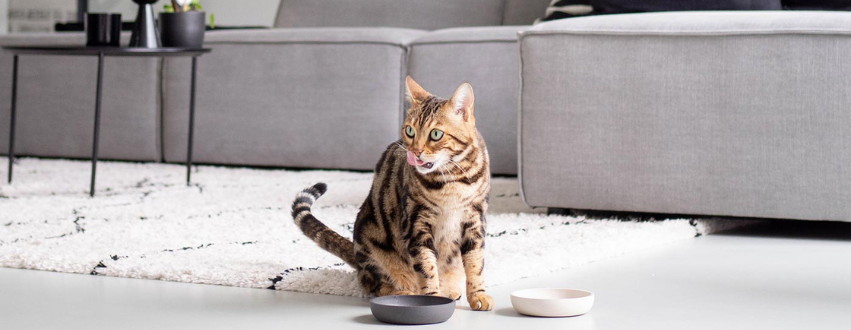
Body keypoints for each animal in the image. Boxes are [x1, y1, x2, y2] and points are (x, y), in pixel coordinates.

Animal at [292, 76, 492, 310]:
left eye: (436, 134)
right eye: (410, 131)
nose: (415, 152)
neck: (450, 181)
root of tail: (356, 255)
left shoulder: (475, 219)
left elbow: (475, 263)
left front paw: (478, 295)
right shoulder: (416, 223)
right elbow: (427, 267)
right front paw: (432, 298)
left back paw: (449, 290)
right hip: (371, 243)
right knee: (374, 284)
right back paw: (403, 292)